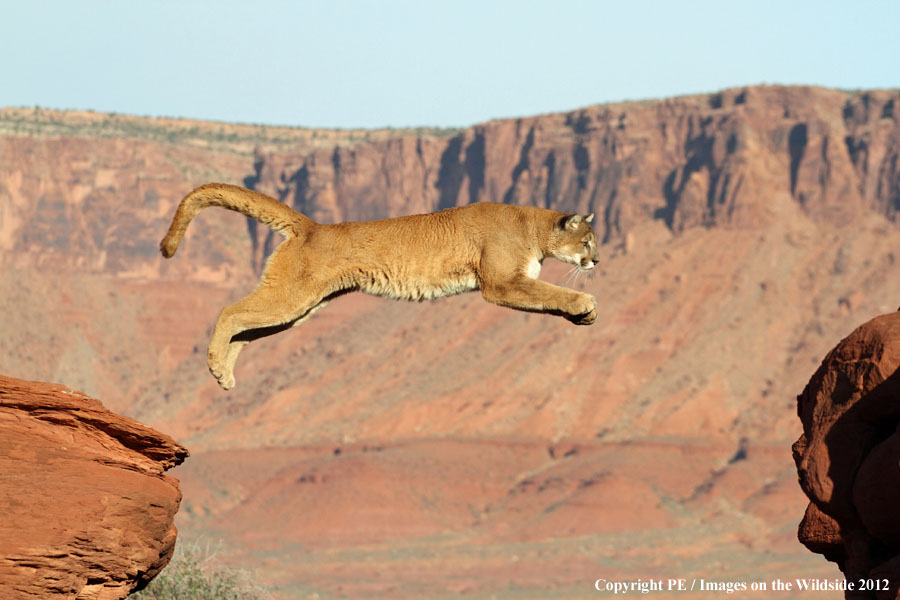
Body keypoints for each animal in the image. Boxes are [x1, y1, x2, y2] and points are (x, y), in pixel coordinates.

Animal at [161, 183, 600, 390]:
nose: (597, 260)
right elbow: (551, 293)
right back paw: (216, 364)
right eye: (587, 242)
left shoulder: (512, 282)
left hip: (300, 308)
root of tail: (312, 226)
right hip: (291, 298)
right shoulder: (502, 282)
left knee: (245, 328)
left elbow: (546, 298)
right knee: (228, 311)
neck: (533, 227)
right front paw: (584, 302)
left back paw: (224, 376)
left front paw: (583, 315)